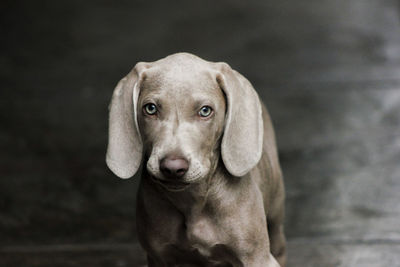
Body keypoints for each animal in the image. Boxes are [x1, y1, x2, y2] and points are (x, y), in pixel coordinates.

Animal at [106, 53, 286, 266]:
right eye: (150, 108)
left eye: (205, 111)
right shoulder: (159, 257)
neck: (192, 201)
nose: (173, 168)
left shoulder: (256, 258)